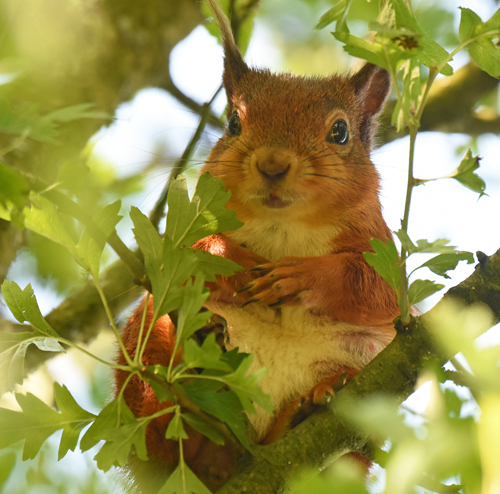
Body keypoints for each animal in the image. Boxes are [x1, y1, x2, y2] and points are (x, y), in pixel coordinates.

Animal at [113, 0, 398, 490]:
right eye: (232, 122)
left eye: (340, 131)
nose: (272, 163)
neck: (282, 227)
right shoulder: (180, 235)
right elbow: (188, 253)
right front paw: (237, 262)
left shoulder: (383, 249)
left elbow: (378, 289)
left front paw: (300, 276)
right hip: (151, 335)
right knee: (160, 432)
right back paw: (186, 399)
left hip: (368, 366)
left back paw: (310, 405)